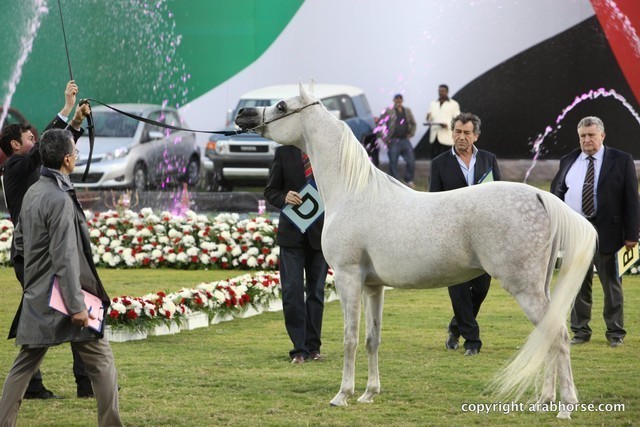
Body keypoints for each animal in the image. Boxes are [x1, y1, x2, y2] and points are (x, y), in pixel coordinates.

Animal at [235, 82, 597, 419]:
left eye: (282, 106)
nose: (244, 115)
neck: (353, 191)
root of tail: (540, 196)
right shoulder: (373, 286)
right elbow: (372, 339)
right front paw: (369, 393)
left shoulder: (348, 278)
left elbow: (350, 338)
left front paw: (343, 395)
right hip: (540, 288)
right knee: (548, 337)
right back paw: (544, 401)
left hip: (524, 289)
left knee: (558, 337)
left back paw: (566, 407)